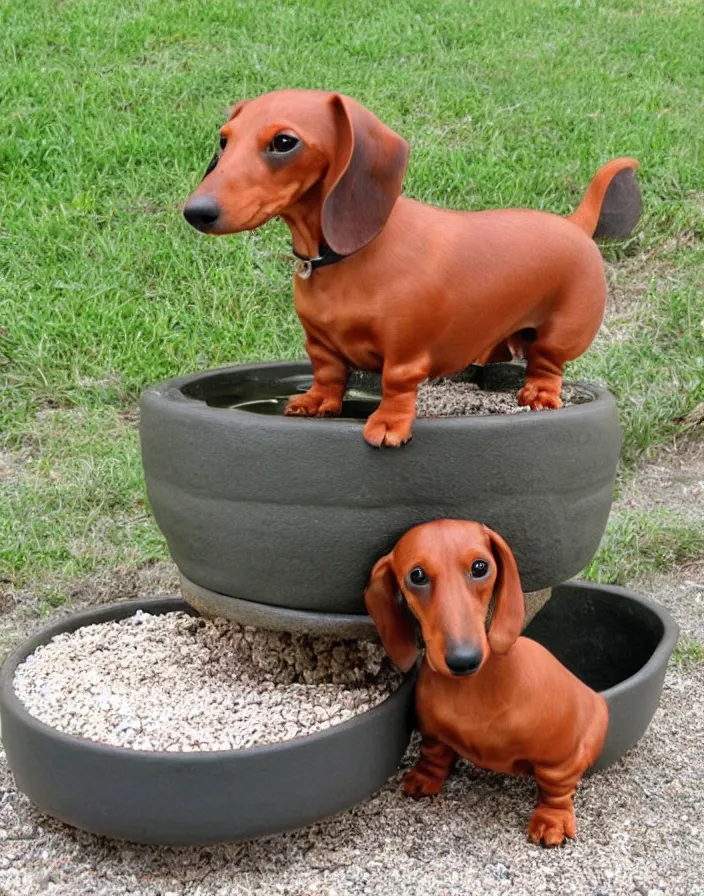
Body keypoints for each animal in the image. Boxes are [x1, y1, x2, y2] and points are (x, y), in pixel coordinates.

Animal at [184, 91, 640, 448]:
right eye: (224, 141)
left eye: (284, 142)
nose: (195, 212)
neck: (346, 257)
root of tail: (574, 225)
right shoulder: (320, 344)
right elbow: (327, 374)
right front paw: (316, 402)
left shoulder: (404, 351)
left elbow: (395, 385)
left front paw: (388, 424)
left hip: (560, 333)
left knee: (547, 365)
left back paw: (539, 394)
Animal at [366, 520, 608, 848]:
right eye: (417, 575)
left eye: (480, 567)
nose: (463, 660)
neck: (471, 691)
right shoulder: (433, 735)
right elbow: (433, 754)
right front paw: (426, 777)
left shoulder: (559, 760)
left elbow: (556, 791)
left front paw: (552, 820)